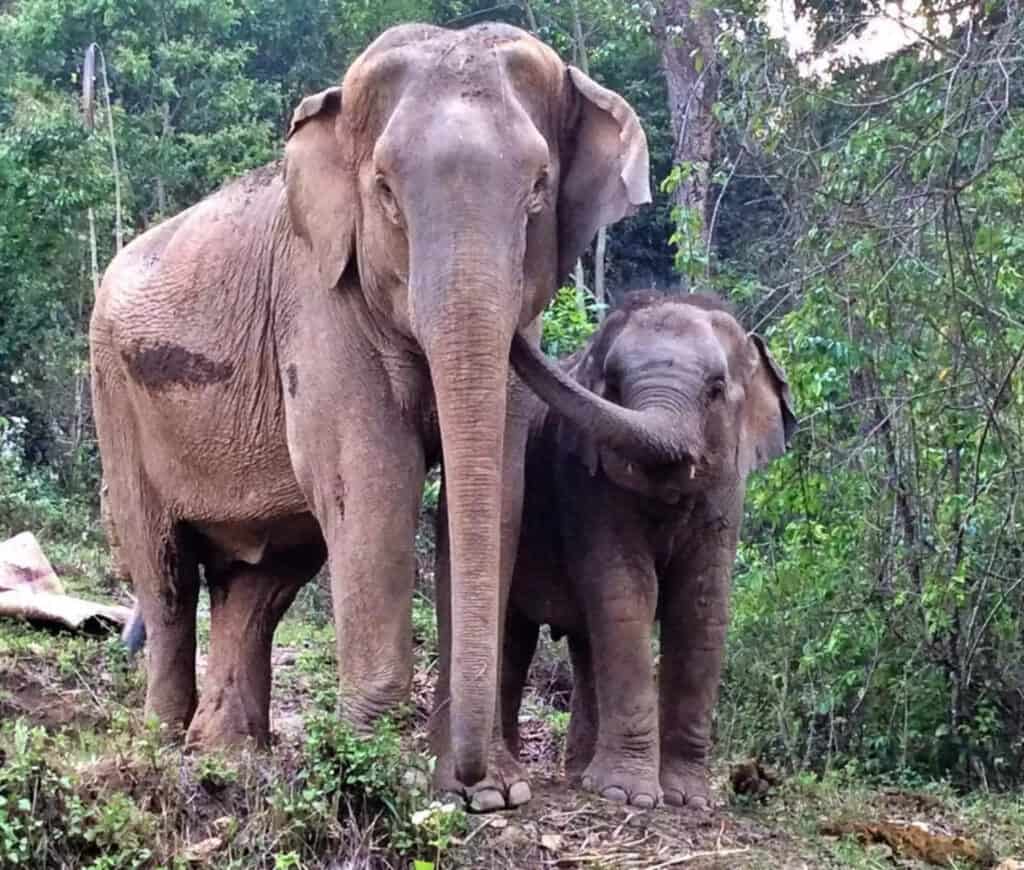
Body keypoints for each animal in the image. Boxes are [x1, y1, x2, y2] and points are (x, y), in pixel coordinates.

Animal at [91, 22, 659, 810]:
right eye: (386, 190)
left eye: (539, 189)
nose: (482, 782)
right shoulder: (319, 302)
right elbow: (374, 485)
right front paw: (368, 777)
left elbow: (493, 490)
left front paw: (485, 792)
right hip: (116, 397)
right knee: (167, 574)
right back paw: (164, 746)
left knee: (258, 583)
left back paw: (229, 756)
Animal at [496, 291, 796, 809]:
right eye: (613, 385)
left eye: (716, 388)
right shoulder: (586, 485)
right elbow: (628, 594)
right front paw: (629, 796)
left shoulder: (726, 491)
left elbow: (701, 606)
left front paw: (687, 800)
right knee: (518, 636)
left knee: (584, 644)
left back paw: (580, 775)